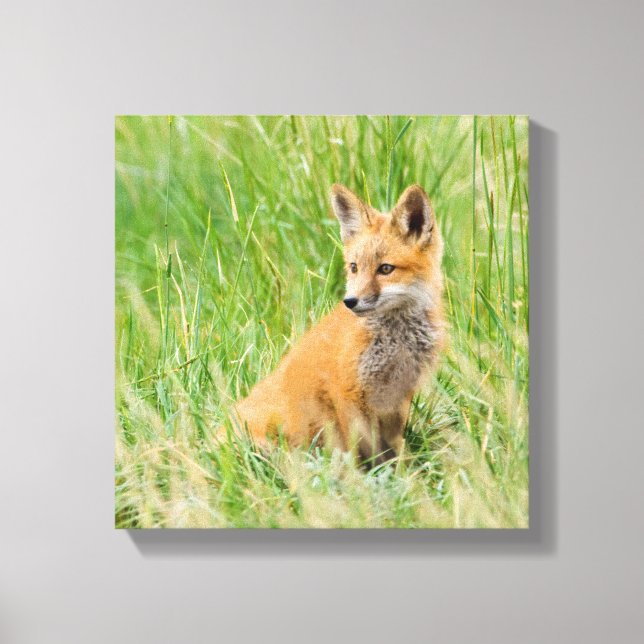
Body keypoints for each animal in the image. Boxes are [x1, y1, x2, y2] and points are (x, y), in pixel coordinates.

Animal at [227, 183, 446, 464]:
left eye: (385, 269)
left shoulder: (398, 396)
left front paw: (405, 470)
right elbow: (361, 448)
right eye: (354, 267)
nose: (350, 301)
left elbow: (394, 448)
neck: (396, 341)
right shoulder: (345, 391)